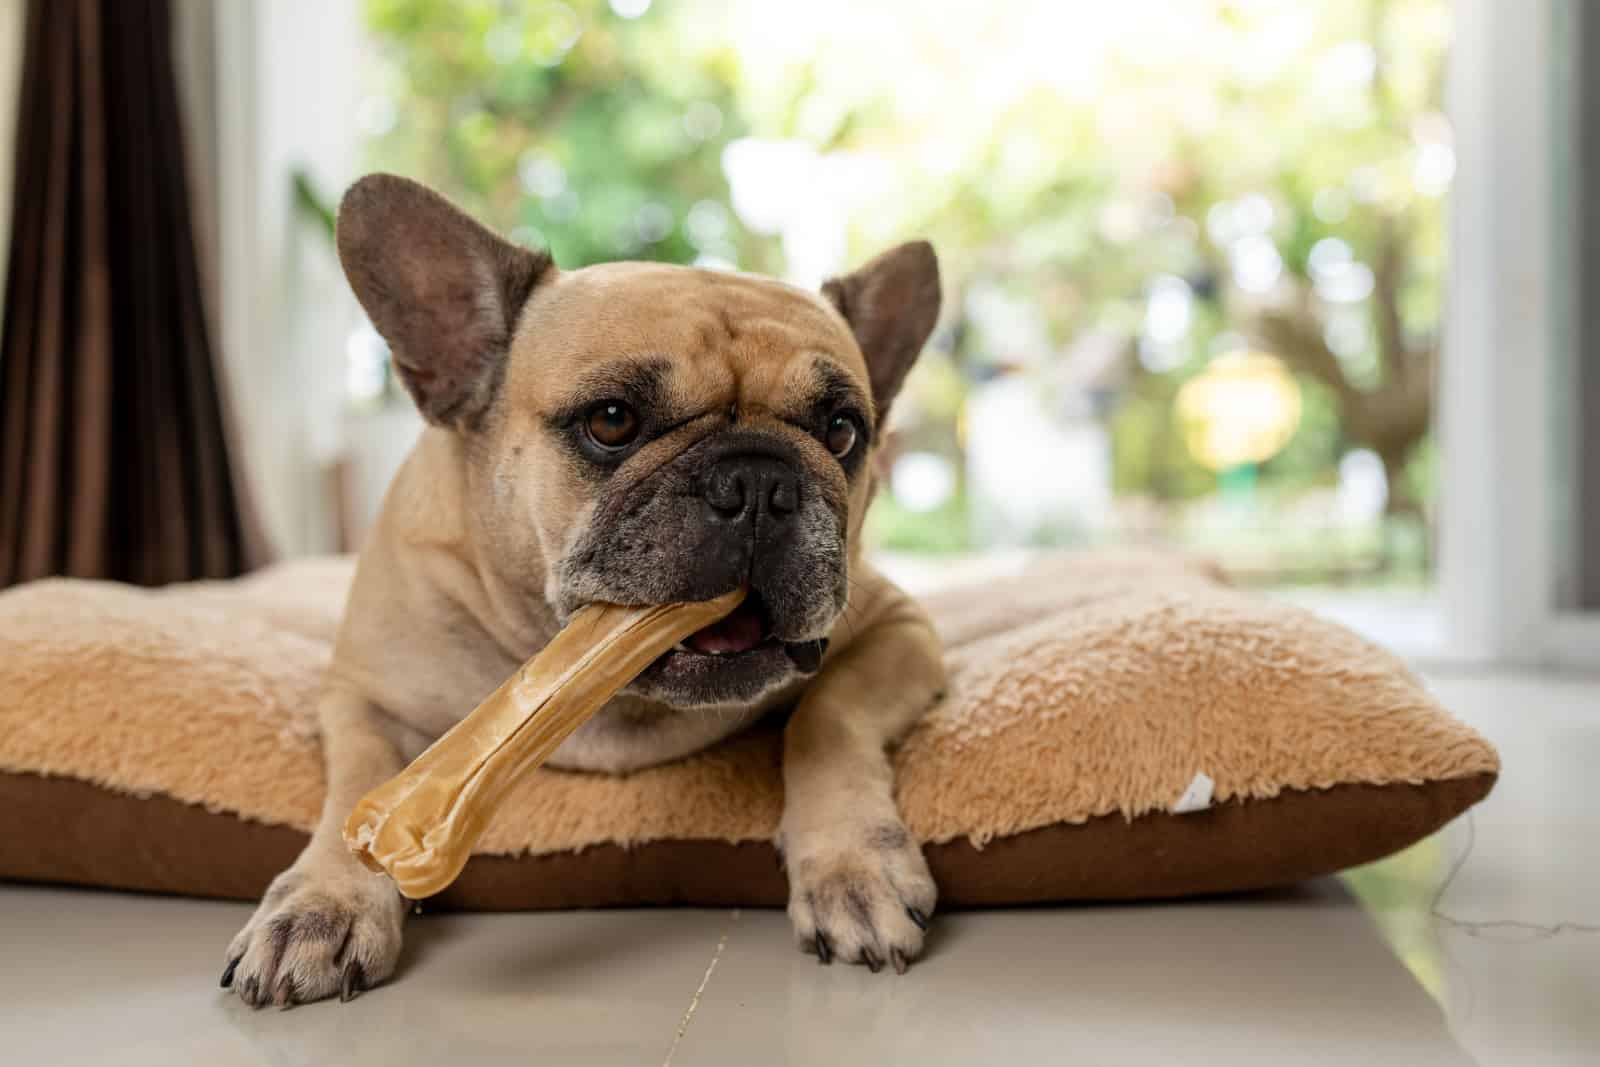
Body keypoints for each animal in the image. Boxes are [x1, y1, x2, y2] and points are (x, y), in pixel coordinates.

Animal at [225, 175, 947, 1011]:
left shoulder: (899, 627)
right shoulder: (362, 695)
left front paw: (853, 863)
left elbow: (828, 715)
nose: (757, 480)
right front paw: (323, 903)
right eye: (611, 421)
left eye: (842, 432)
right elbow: (358, 785)